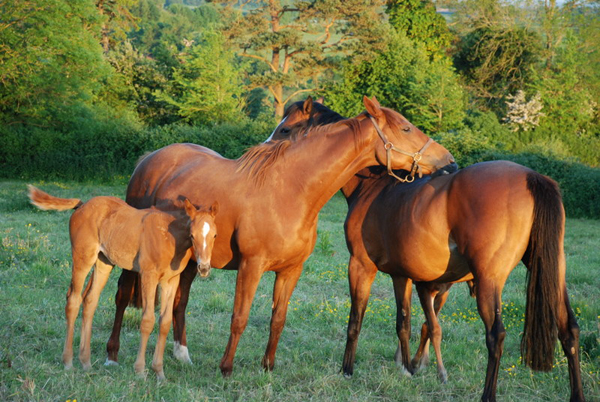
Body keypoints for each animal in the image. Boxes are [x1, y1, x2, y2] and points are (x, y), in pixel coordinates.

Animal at [28, 185, 219, 380]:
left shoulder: (171, 281)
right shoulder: (149, 276)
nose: (204, 268)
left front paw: (159, 373)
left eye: (214, 235)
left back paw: (86, 363)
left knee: (89, 301)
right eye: (192, 235)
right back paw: (68, 362)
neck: (169, 236)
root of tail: (82, 205)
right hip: (83, 258)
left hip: (103, 262)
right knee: (73, 300)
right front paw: (140, 371)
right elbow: (147, 320)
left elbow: (164, 322)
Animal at [105, 96, 454, 376]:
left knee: (180, 300)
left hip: (190, 262)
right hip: (134, 257)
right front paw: (226, 368)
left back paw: (182, 354)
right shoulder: (251, 266)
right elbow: (240, 317)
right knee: (122, 295)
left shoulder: (290, 270)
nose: (449, 162)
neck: (291, 191)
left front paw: (267, 367)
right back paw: (111, 355)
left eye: (286, 129)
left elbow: (279, 319)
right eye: (406, 129)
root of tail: (150, 158)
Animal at [268, 98, 584, 402]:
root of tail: (532, 177)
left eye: (285, 129)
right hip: (553, 274)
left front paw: (347, 370)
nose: (449, 162)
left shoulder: (360, 265)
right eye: (406, 128)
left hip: (488, 281)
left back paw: (487, 394)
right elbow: (404, 322)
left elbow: (355, 319)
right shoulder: (403, 276)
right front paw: (408, 368)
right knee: (569, 331)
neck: (374, 187)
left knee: (497, 335)